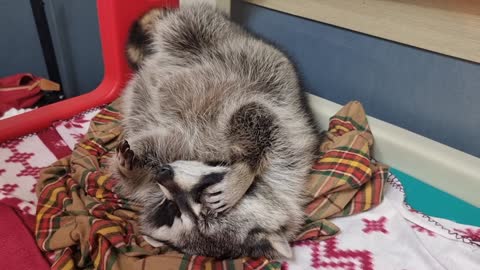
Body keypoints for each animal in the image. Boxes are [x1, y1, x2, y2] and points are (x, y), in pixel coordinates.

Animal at [110, 2, 320, 260]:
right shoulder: (282, 126)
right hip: (210, 33)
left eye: (173, 209)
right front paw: (247, 168)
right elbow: (256, 113)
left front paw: (245, 168)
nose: (162, 173)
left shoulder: (288, 153)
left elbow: (257, 116)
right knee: (185, 27)